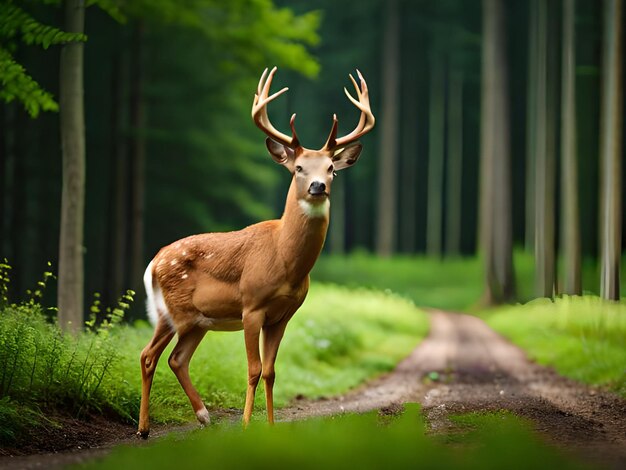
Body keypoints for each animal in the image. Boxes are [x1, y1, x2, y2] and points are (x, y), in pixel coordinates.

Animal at [136, 66, 372, 436]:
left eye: (331, 168)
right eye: (299, 168)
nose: (318, 186)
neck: (286, 261)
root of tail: (153, 262)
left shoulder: (284, 314)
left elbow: (272, 371)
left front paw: (271, 427)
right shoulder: (252, 306)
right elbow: (253, 369)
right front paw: (247, 426)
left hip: (197, 321)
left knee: (177, 358)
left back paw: (204, 416)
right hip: (171, 311)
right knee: (148, 355)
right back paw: (144, 428)